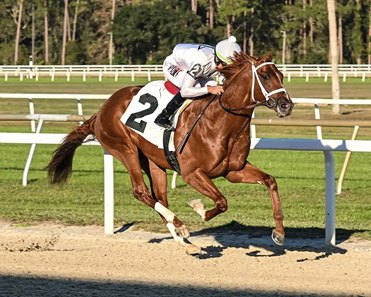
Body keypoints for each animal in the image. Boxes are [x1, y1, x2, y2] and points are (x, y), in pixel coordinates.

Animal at [48, 52, 294, 253]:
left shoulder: (234, 170)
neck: (222, 120)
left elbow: (270, 181)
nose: (286, 105)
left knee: (159, 198)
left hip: (153, 162)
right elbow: (222, 201)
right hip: (124, 149)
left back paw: (184, 242)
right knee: (141, 191)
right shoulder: (192, 173)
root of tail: (102, 109)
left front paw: (279, 232)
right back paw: (181, 227)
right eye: (264, 76)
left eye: (281, 75)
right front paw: (199, 209)